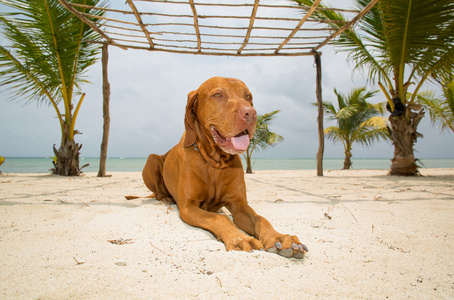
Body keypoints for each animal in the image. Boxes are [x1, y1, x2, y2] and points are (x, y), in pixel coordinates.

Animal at [140, 77, 306, 258]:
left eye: (248, 96)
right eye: (218, 95)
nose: (251, 114)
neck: (214, 163)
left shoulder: (239, 205)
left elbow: (260, 218)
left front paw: (280, 237)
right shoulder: (188, 207)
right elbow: (220, 218)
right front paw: (240, 238)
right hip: (151, 159)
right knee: (157, 190)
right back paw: (165, 198)